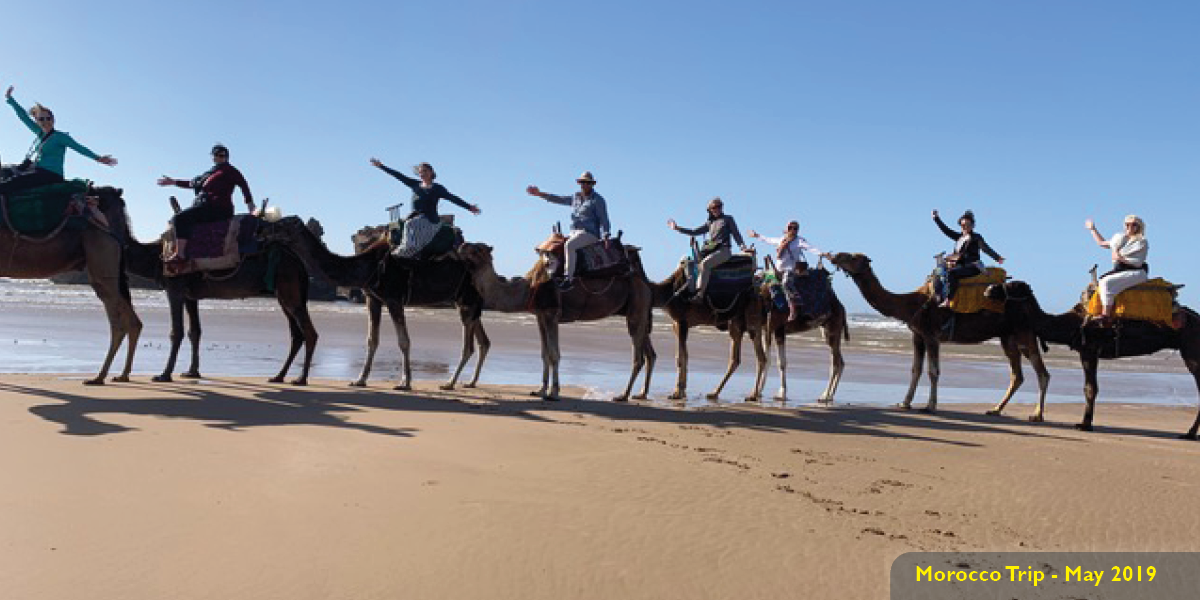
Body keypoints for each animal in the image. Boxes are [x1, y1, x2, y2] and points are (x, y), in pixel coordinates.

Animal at [123, 224, 318, 385]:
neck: (155, 255)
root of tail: (300, 263)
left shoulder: (175, 288)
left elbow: (176, 331)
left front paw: (164, 375)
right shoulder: (190, 296)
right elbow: (194, 332)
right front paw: (192, 372)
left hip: (289, 289)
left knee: (309, 333)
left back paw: (301, 379)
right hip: (283, 295)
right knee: (296, 335)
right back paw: (278, 376)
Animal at [263, 216, 489, 391]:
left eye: (283, 224)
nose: (262, 232)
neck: (367, 267)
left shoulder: (394, 299)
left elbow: (404, 341)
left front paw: (405, 383)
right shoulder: (373, 299)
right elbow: (372, 340)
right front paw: (359, 380)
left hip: (467, 300)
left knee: (468, 346)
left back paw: (450, 383)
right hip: (467, 303)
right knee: (483, 341)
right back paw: (469, 383)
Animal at [456, 242, 654, 401]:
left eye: (478, 249)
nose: (461, 246)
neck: (528, 288)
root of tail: (644, 282)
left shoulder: (552, 314)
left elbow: (554, 354)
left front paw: (554, 393)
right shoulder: (540, 316)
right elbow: (545, 354)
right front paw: (540, 390)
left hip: (637, 308)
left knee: (638, 357)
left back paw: (623, 395)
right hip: (638, 311)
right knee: (648, 353)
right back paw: (640, 394)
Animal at [829, 252, 1049, 417]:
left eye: (853, 257)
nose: (835, 256)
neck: (911, 304)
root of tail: (1031, 300)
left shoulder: (931, 335)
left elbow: (933, 371)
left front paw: (930, 406)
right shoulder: (917, 336)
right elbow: (915, 369)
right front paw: (904, 403)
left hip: (1024, 332)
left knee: (1042, 372)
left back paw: (1036, 415)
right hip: (1008, 337)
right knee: (1017, 375)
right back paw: (995, 410)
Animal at [989, 279, 1200, 438]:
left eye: (1012, 285)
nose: (989, 289)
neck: (1072, 323)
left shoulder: (1090, 350)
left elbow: (1090, 388)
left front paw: (1084, 424)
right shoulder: (1086, 352)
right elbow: (1088, 388)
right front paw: (1085, 422)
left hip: (1192, 352)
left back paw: (1189, 434)